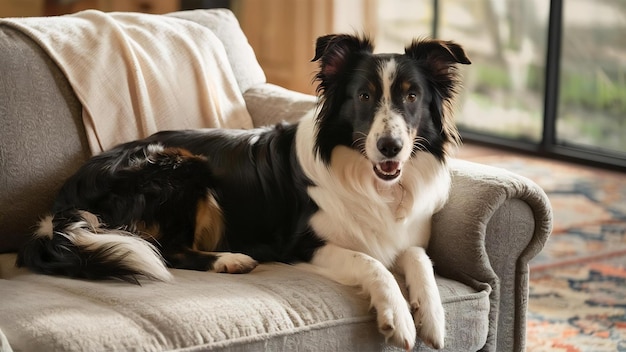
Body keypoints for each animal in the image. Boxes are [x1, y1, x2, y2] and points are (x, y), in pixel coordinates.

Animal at [17, 35, 468, 350]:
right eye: (364, 96)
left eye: (412, 96)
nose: (390, 147)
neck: (371, 181)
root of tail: (65, 199)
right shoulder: (300, 245)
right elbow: (372, 263)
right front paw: (399, 319)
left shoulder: (402, 236)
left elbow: (419, 258)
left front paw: (433, 319)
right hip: (182, 166)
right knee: (167, 250)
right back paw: (230, 260)